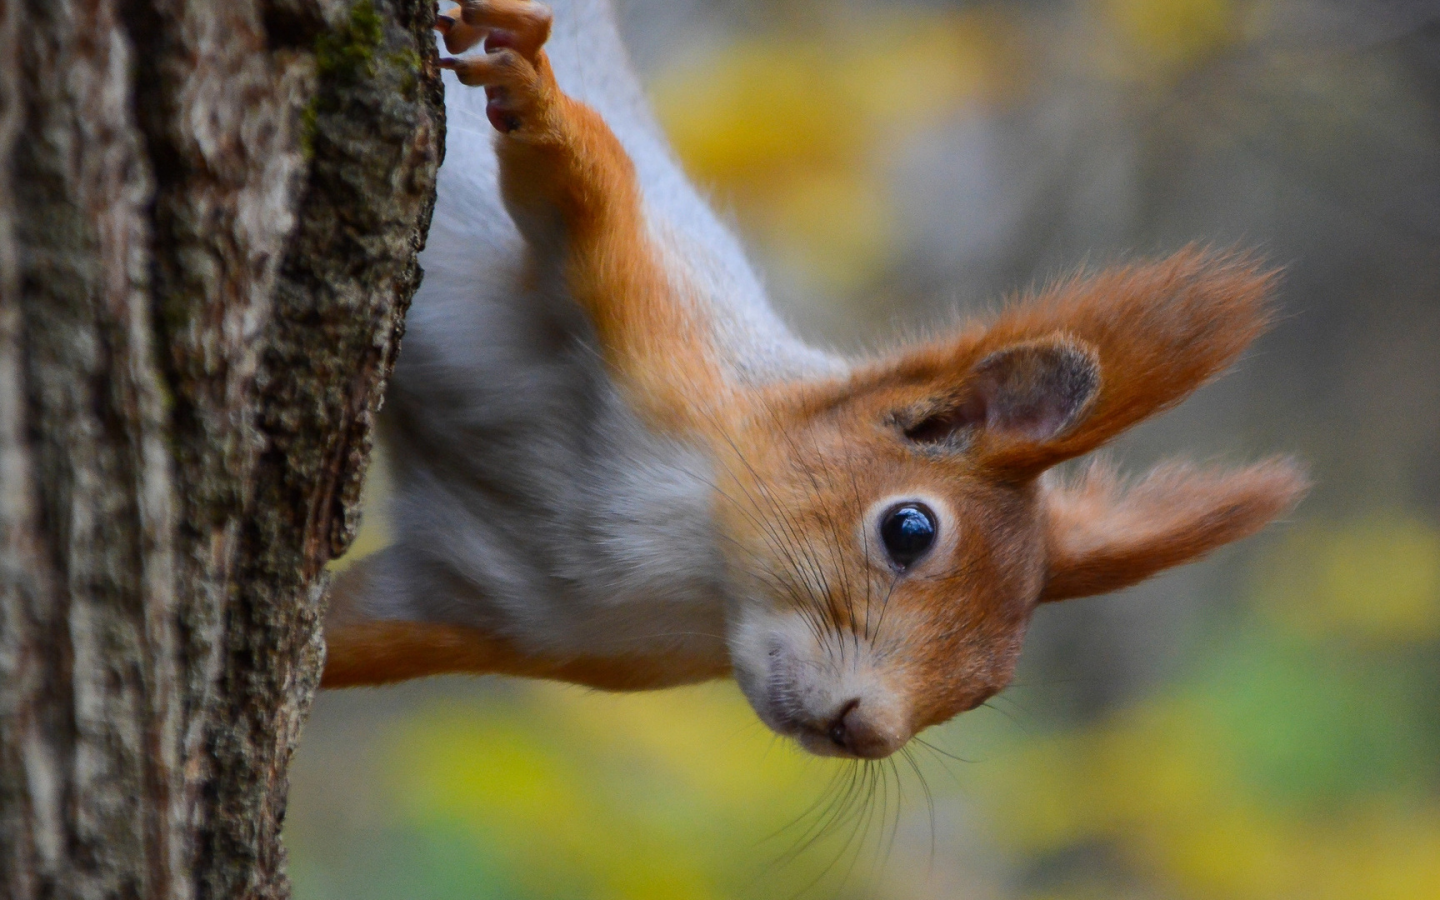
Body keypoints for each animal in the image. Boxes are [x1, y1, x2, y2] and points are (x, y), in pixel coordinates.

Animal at [324, 0, 1307, 760]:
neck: (687, 556)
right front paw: (531, 87)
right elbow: (582, 185)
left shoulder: (490, 605)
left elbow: (339, 638)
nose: (862, 731)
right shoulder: (654, 319)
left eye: (989, 687)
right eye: (909, 529)